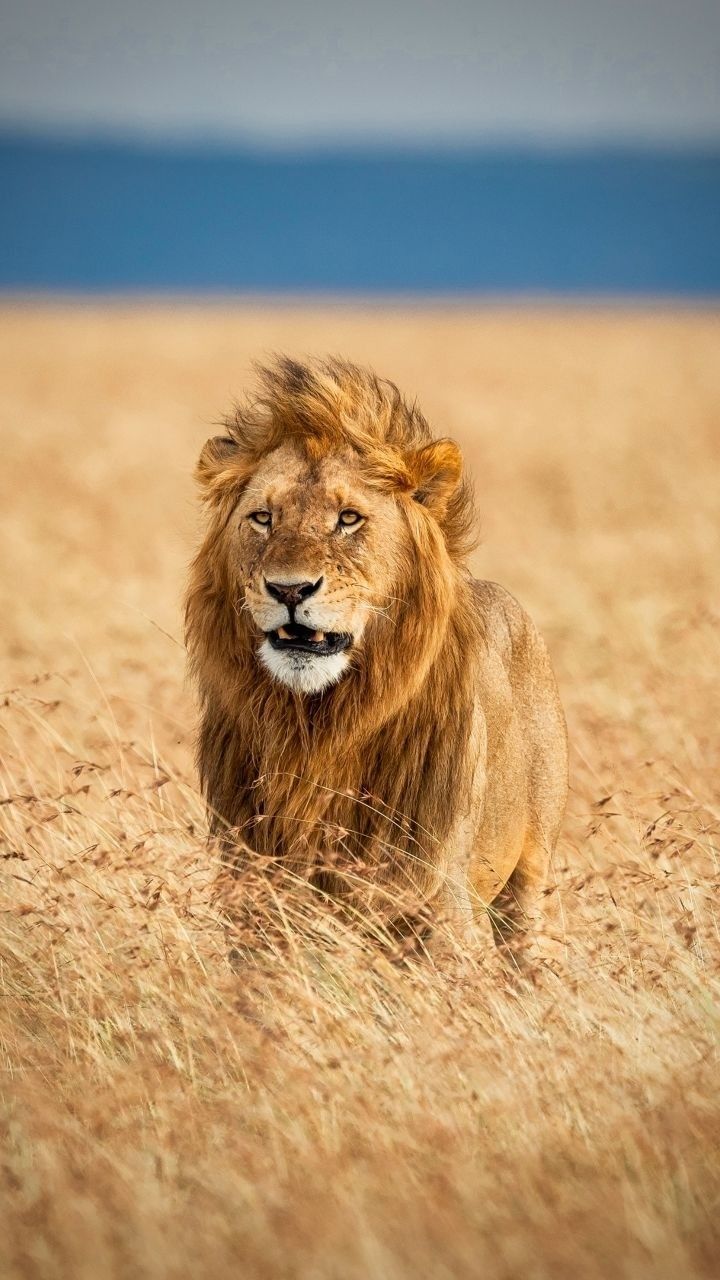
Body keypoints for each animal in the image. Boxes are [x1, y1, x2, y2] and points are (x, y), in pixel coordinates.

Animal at [185, 356, 568, 962]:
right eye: (263, 518)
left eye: (348, 518)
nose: (289, 589)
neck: (318, 727)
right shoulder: (256, 896)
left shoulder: (439, 901)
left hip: (532, 874)